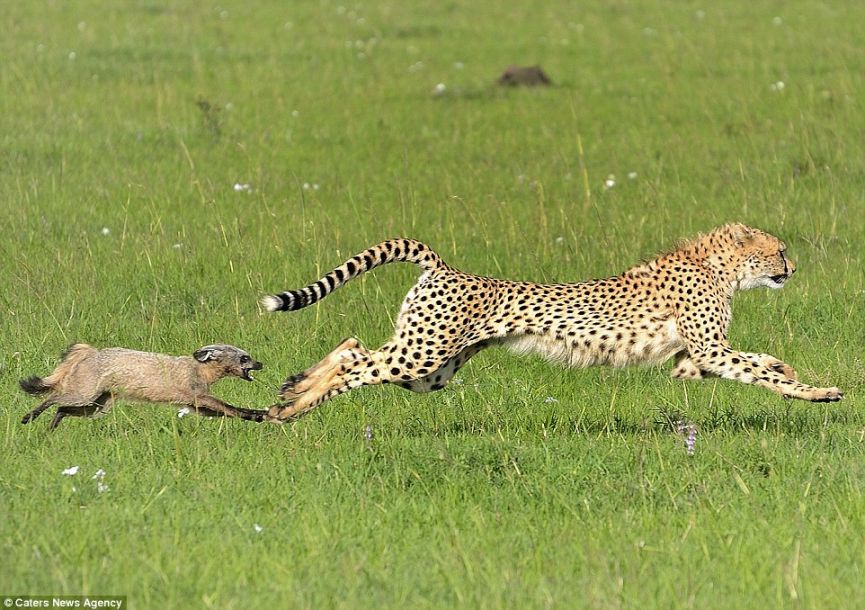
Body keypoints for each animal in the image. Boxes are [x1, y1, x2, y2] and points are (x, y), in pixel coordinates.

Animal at [260, 221, 840, 420]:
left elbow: (757, 362)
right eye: (780, 250)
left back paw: (289, 396)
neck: (717, 264)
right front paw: (819, 392)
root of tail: (446, 266)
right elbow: (754, 369)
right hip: (423, 355)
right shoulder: (707, 349)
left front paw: (788, 371)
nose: (793, 267)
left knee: (353, 345)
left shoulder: (691, 358)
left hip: (433, 369)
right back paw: (291, 406)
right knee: (356, 360)